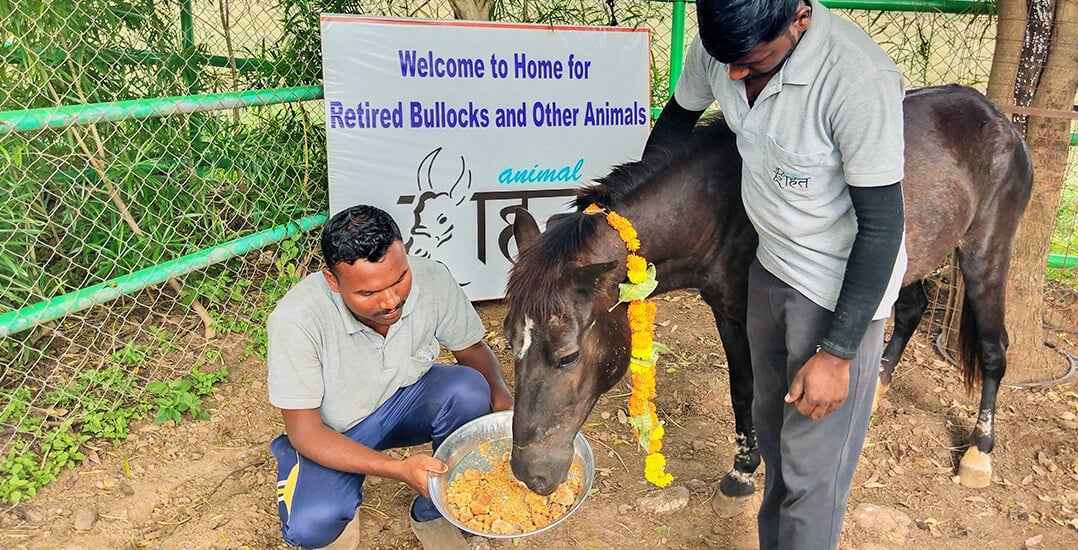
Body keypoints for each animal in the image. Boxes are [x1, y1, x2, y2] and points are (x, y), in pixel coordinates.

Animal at [504, 83, 1034, 513]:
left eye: (568, 356)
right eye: (511, 341)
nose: (529, 474)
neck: (721, 209)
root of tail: (995, 115)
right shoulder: (727, 314)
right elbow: (743, 390)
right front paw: (741, 472)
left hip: (986, 254)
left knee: (994, 348)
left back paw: (979, 452)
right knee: (909, 309)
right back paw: (880, 386)